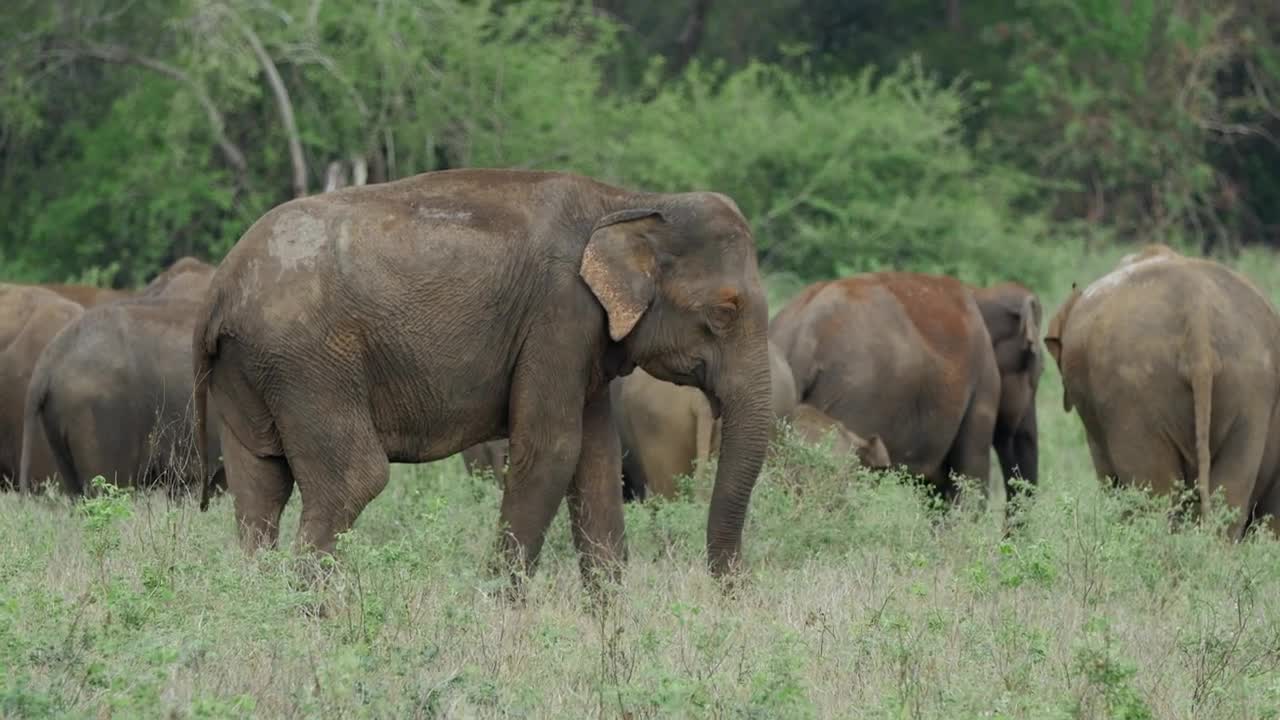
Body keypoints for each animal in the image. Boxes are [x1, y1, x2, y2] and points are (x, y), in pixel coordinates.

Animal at [192, 168, 773, 587]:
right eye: (725, 311)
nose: (733, 586)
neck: (629, 201)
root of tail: (220, 287)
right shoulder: (559, 316)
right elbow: (552, 449)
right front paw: (499, 609)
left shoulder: (583, 341)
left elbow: (596, 462)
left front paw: (608, 624)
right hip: (309, 364)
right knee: (352, 480)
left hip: (252, 369)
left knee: (259, 485)